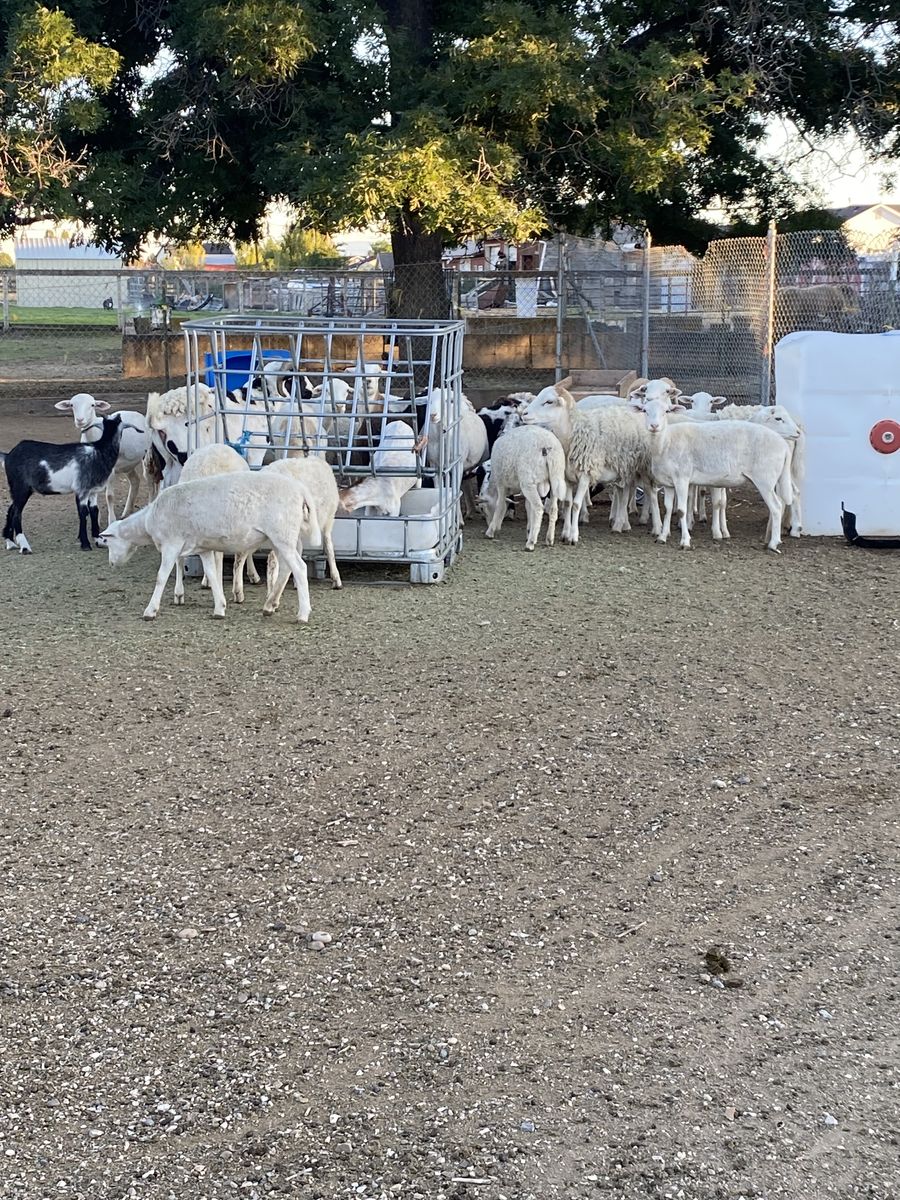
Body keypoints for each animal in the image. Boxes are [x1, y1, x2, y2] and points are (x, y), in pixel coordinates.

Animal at [2, 415, 123, 553]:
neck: (99, 451)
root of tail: (8, 456)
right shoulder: (82, 489)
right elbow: (83, 513)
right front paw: (85, 544)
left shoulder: (92, 491)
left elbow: (94, 511)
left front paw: (98, 539)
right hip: (20, 487)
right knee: (17, 514)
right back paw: (25, 547)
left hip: (20, 490)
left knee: (11, 510)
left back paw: (10, 542)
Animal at [53, 393, 150, 523]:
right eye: (72, 405)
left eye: (92, 405)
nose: (80, 420)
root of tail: (138, 413)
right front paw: (96, 519)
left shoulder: (111, 469)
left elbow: (109, 496)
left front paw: (111, 520)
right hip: (128, 464)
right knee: (135, 480)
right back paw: (126, 512)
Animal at [99, 472, 318, 623]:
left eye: (108, 542)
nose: (111, 564)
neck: (147, 522)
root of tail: (301, 490)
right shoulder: (202, 548)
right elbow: (212, 575)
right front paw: (219, 608)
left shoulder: (171, 544)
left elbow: (161, 577)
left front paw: (150, 611)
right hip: (282, 538)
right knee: (287, 569)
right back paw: (269, 605)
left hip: (282, 535)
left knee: (299, 568)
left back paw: (302, 614)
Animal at [521, 384, 661, 543]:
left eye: (549, 401)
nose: (524, 414)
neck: (573, 433)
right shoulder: (567, 477)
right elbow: (568, 504)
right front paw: (565, 533)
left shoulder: (585, 475)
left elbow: (576, 504)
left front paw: (573, 536)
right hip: (624, 468)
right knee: (623, 493)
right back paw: (621, 524)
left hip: (645, 466)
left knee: (651, 493)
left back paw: (656, 528)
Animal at [633, 394, 796, 552]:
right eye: (645, 411)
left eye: (666, 411)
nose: (654, 426)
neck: (665, 442)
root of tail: (783, 445)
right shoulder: (668, 483)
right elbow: (667, 509)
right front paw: (662, 536)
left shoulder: (682, 479)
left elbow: (682, 510)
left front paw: (686, 541)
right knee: (781, 502)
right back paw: (772, 539)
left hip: (765, 479)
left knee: (776, 507)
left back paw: (773, 544)